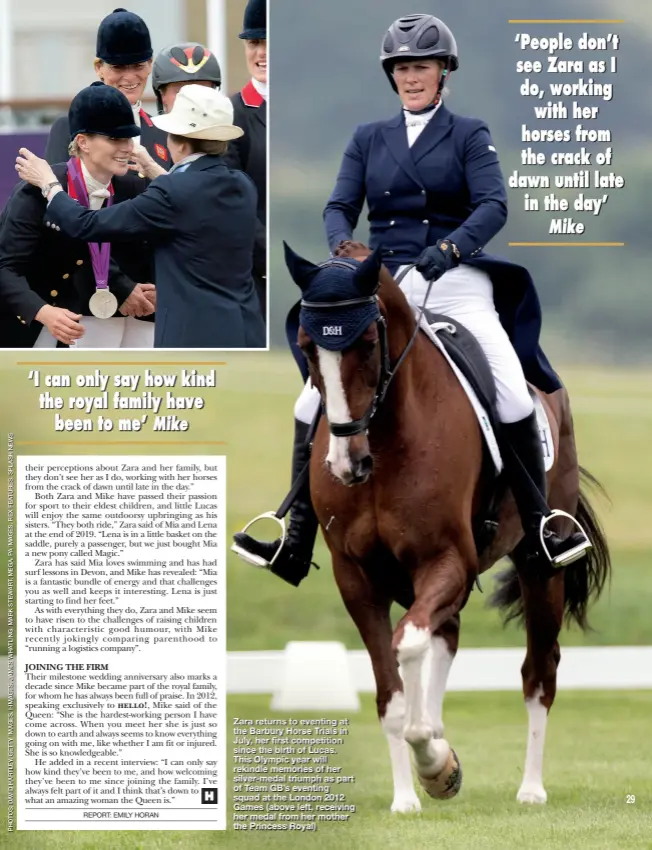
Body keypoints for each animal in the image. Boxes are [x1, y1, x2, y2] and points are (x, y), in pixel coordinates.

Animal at [288, 242, 608, 812]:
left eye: (367, 343)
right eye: (306, 346)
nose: (347, 465)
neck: (387, 442)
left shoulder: (447, 561)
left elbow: (408, 644)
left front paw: (436, 763)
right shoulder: (357, 578)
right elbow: (391, 690)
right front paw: (408, 795)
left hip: (539, 567)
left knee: (538, 671)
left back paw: (530, 789)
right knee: (450, 637)